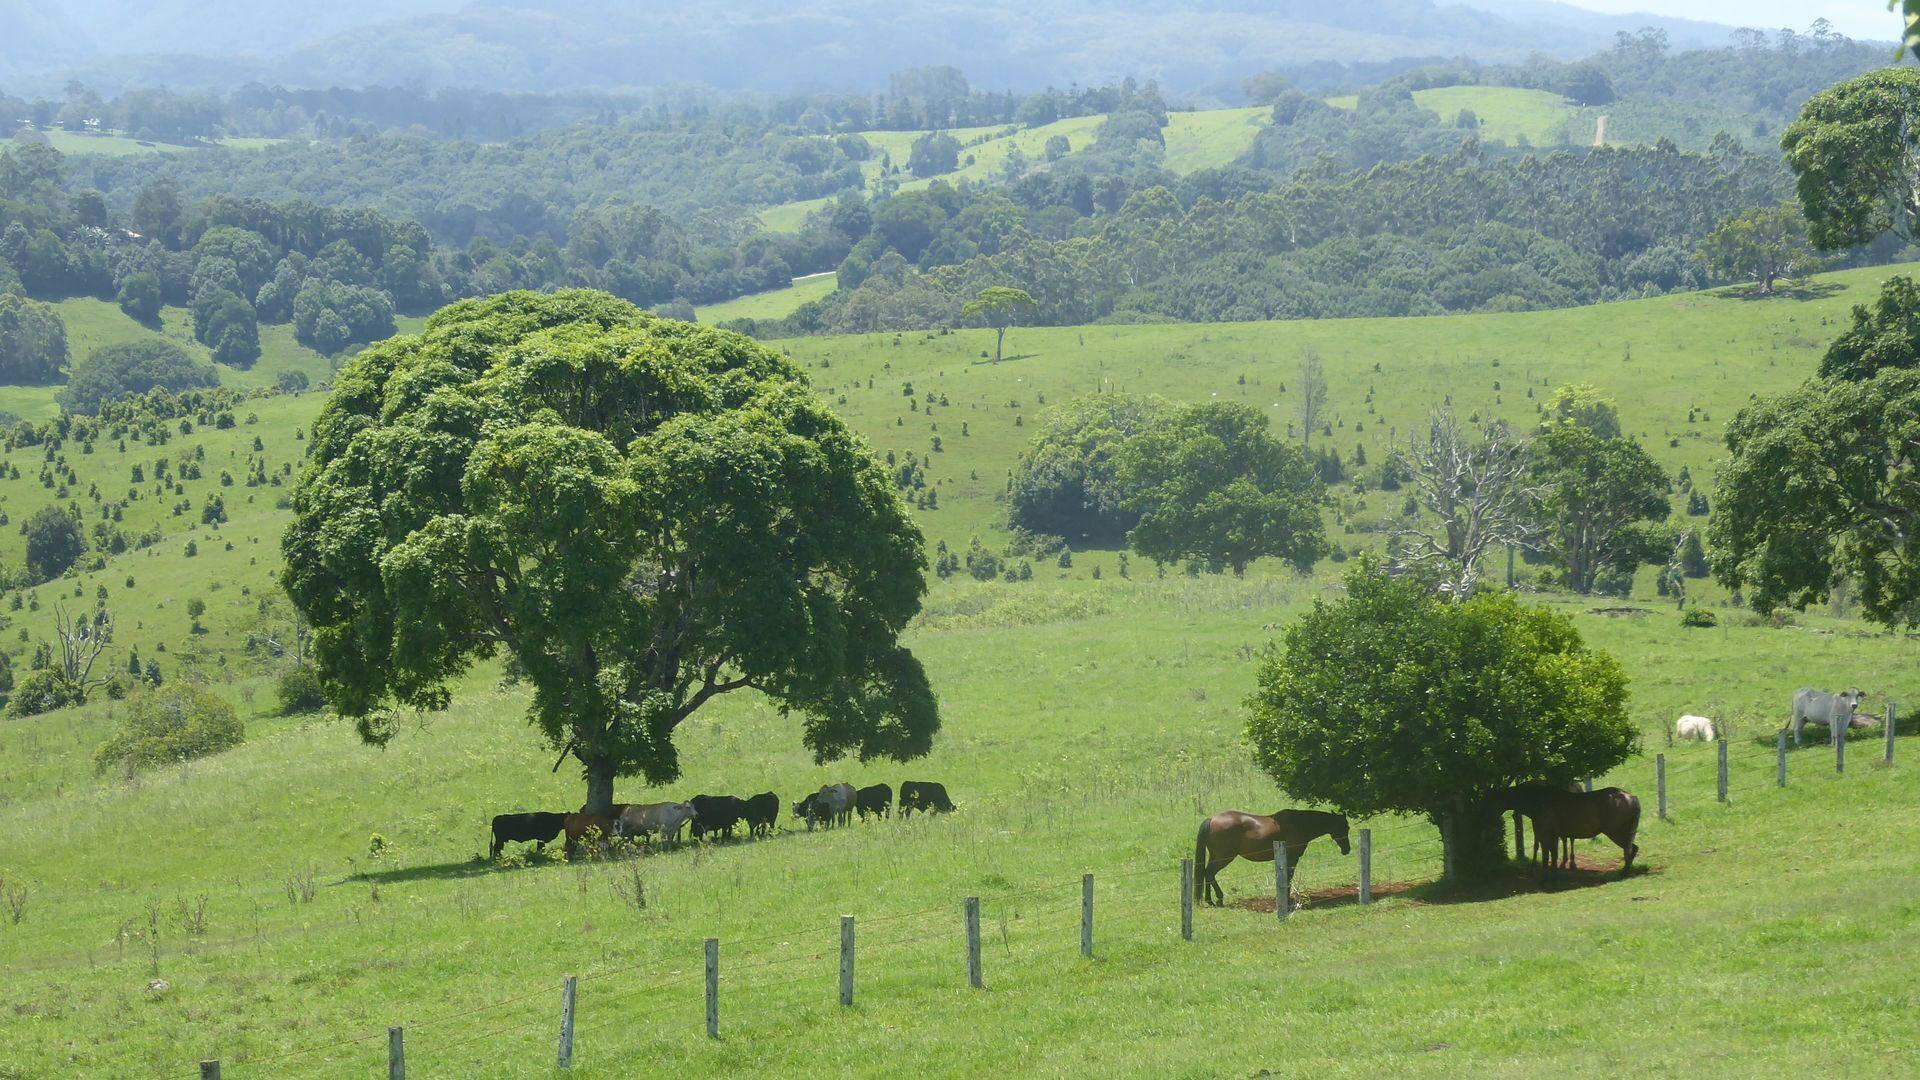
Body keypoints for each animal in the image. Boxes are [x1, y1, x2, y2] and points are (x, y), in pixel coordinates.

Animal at [1182, 803, 1351, 903]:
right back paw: (1217, 898)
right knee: (1209, 873)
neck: (1299, 823)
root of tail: (1212, 819)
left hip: (1215, 856)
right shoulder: (1292, 858)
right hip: (1224, 857)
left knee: (1206, 874)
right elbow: (1288, 877)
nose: (1347, 850)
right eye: (1344, 827)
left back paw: (1209, 899)